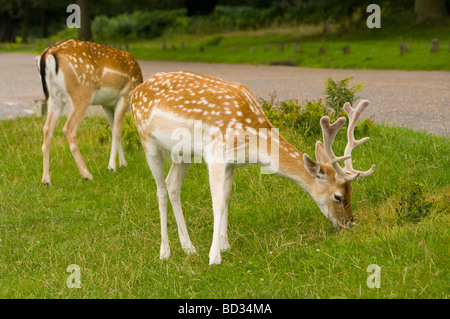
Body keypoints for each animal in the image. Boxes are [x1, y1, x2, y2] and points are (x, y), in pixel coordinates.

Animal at [36, 39, 142, 185]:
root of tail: (47, 54)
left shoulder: (107, 104)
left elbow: (115, 129)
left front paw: (123, 163)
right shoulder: (124, 96)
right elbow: (116, 131)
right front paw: (112, 167)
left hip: (54, 97)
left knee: (47, 129)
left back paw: (46, 180)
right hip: (82, 92)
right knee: (68, 129)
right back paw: (87, 174)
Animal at [131, 71, 376, 266]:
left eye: (352, 192)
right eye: (338, 196)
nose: (349, 224)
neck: (253, 142)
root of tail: (134, 92)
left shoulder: (231, 162)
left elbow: (226, 199)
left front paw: (224, 244)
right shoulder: (216, 153)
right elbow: (217, 203)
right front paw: (214, 257)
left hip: (182, 153)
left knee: (172, 185)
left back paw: (189, 247)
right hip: (147, 140)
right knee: (160, 190)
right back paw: (165, 252)